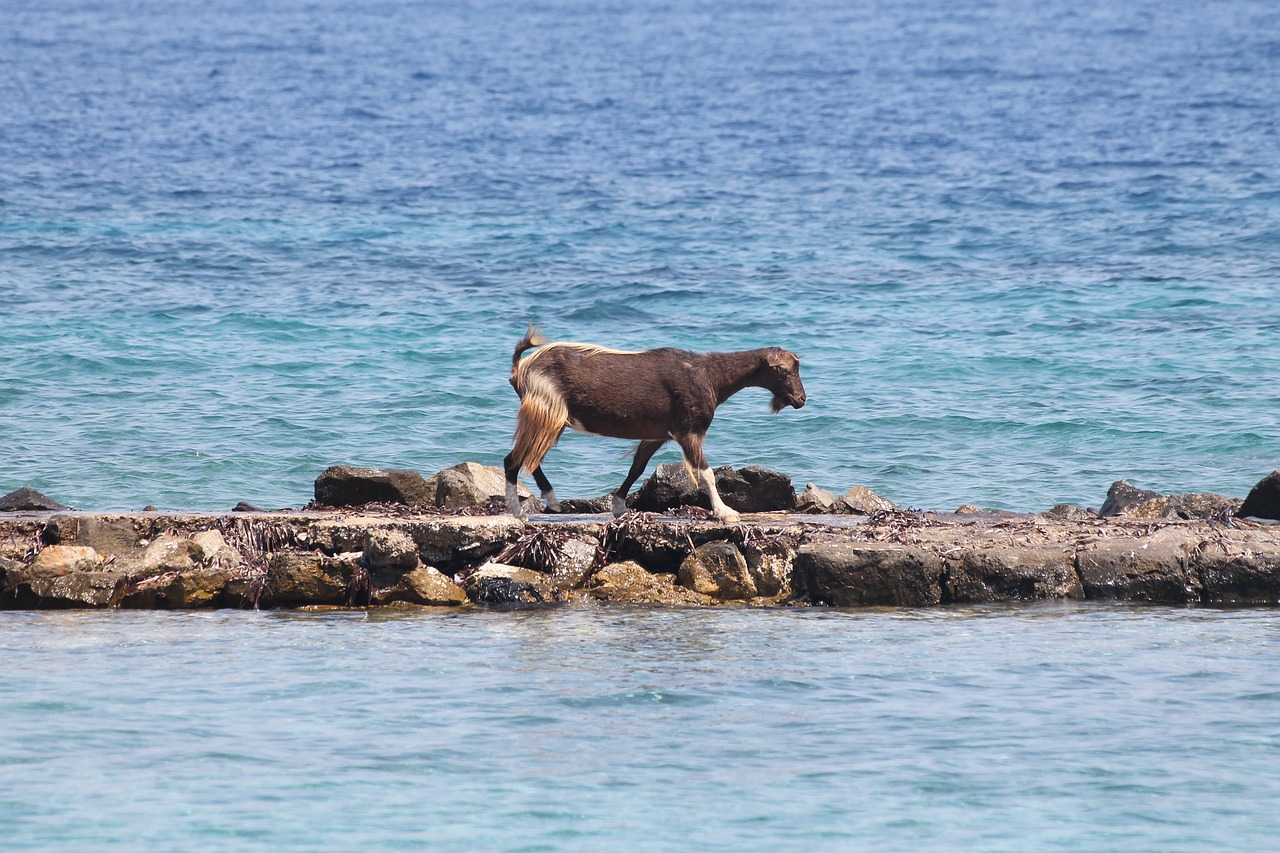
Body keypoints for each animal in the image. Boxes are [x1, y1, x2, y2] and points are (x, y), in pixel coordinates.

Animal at [501, 325, 808, 522]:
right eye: (782, 369)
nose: (801, 399)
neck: (710, 377)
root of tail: (520, 369)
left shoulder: (657, 434)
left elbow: (637, 468)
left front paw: (619, 506)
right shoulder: (688, 431)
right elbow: (706, 473)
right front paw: (726, 513)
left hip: (549, 417)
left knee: (528, 458)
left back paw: (549, 502)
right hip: (546, 410)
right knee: (515, 460)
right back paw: (520, 510)